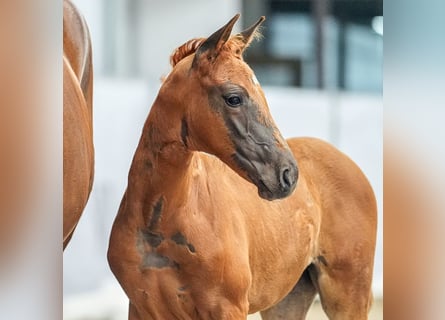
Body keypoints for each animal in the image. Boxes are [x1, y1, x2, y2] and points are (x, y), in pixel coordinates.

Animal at [107, 14, 374, 318]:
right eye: (234, 98)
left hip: (347, 294)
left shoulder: (227, 307)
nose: (288, 175)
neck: (161, 223)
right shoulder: (142, 307)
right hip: (288, 299)